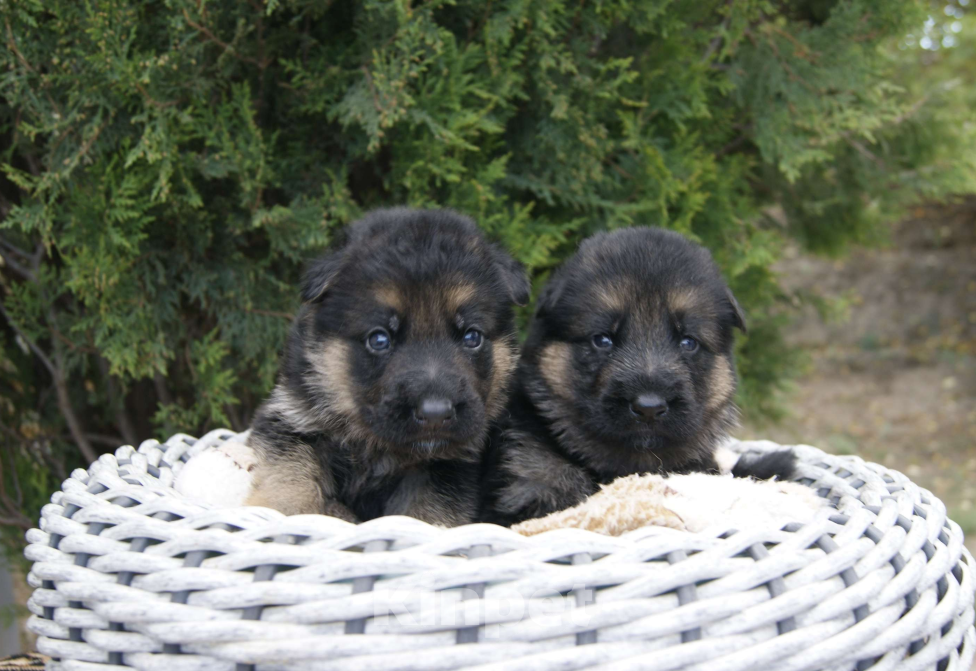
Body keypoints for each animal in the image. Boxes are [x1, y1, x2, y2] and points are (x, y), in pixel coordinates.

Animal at [248, 209, 528, 524]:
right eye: (379, 339)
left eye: (472, 337)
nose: (435, 414)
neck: (376, 445)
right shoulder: (291, 419)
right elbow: (288, 475)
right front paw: (280, 513)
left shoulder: (447, 465)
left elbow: (427, 514)